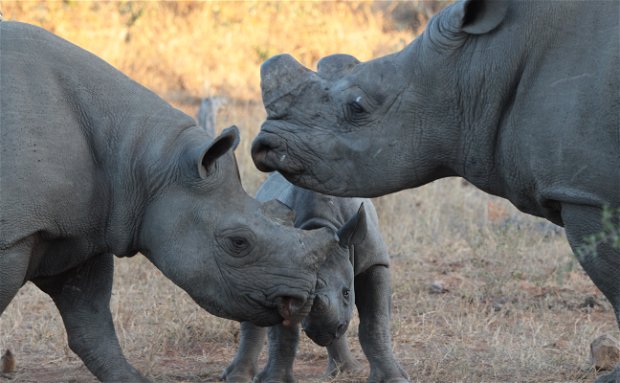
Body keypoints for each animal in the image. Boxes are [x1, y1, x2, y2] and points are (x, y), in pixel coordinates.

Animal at [0, 21, 344, 383]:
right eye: (238, 243)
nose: (301, 298)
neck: (148, 164)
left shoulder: (83, 230)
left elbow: (91, 325)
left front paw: (132, 380)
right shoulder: (12, 237)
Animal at [223, 173, 406, 383]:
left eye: (347, 293)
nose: (323, 332)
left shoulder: (374, 261)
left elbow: (375, 322)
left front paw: (394, 379)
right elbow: (283, 332)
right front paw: (275, 380)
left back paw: (347, 371)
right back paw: (237, 377)